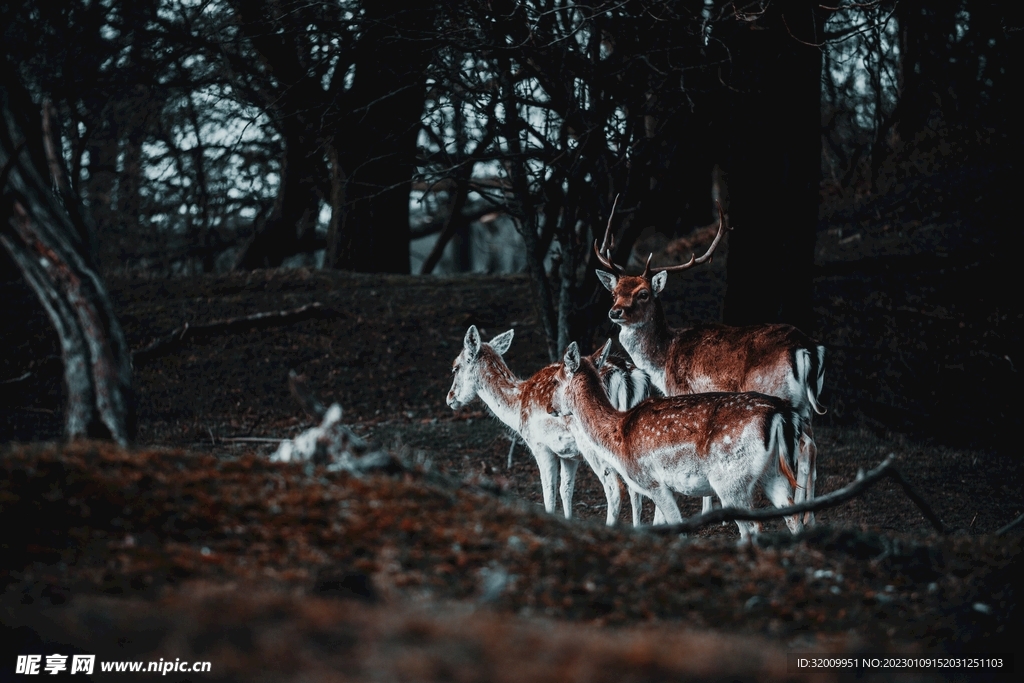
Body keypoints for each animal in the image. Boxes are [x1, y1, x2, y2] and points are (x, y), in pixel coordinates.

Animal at [446, 325, 653, 526]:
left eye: (455, 367)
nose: (450, 398)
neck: (517, 406)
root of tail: (626, 375)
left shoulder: (540, 446)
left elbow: (549, 492)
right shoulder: (569, 455)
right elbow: (566, 490)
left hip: (594, 443)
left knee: (615, 489)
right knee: (636, 490)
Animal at [551, 341, 805, 542]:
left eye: (555, 380)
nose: (550, 407)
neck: (617, 438)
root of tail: (780, 413)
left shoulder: (652, 481)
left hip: (730, 480)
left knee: (753, 526)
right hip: (773, 473)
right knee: (793, 517)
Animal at [593, 199, 826, 524]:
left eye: (643, 294)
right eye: (615, 292)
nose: (615, 312)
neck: (663, 360)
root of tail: (807, 349)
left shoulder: (683, 391)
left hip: (779, 392)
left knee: (804, 446)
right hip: (806, 406)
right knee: (813, 447)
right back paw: (809, 514)